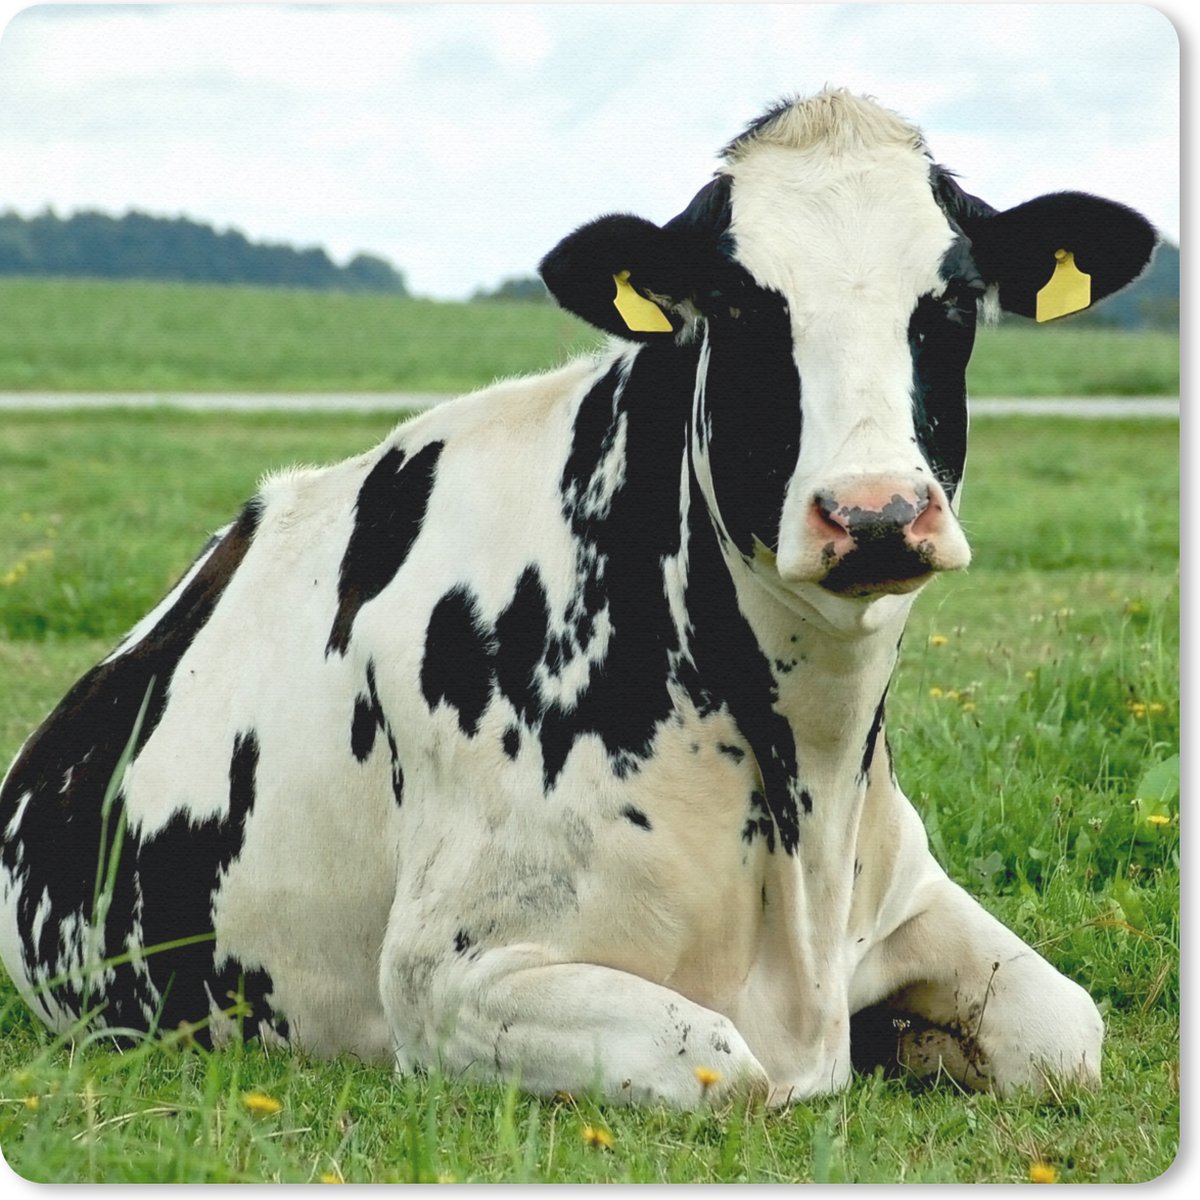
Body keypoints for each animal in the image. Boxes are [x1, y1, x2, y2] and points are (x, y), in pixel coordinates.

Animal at [0, 90, 1155, 1108]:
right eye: (739, 304)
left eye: (953, 304)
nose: (873, 512)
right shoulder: (451, 977)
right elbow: (727, 1066)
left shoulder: (908, 897)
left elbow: (1067, 1032)